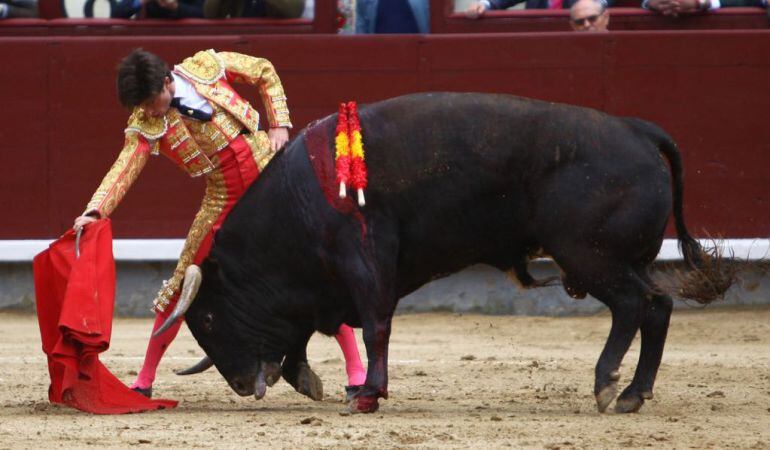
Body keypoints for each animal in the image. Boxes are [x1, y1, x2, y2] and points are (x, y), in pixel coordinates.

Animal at [166, 92, 728, 414]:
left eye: (209, 319)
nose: (242, 385)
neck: (301, 200)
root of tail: (637, 128)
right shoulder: (322, 284)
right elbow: (309, 329)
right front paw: (319, 381)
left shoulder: (363, 259)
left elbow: (374, 326)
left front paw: (367, 395)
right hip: (623, 260)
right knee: (658, 306)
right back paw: (634, 393)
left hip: (591, 257)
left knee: (634, 305)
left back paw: (607, 385)